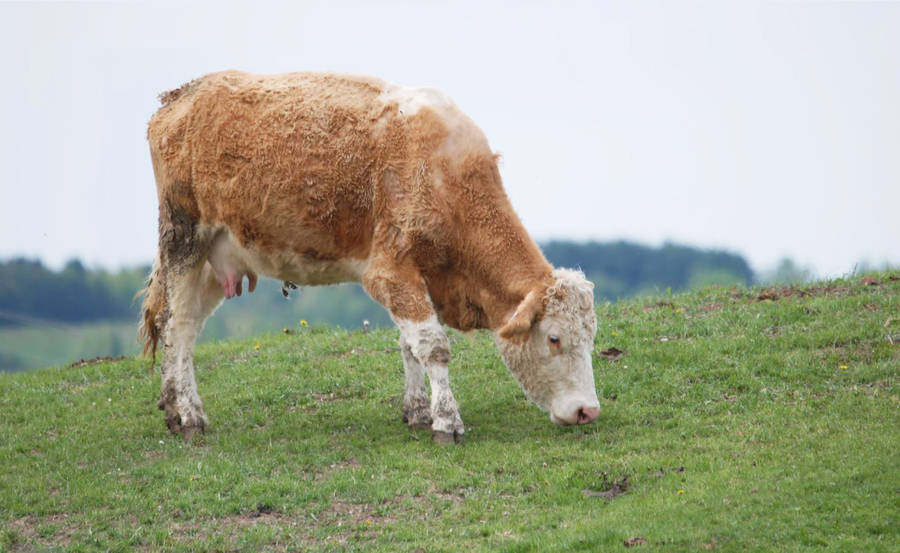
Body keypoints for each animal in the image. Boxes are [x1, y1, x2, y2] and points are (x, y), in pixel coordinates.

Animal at [139, 71, 600, 443]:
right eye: (553, 337)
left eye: (591, 336)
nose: (587, 411)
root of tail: (180, 96)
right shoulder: (389, 270)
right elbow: (433, 346)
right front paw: (447, 422)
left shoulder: (421, 276)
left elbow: (409, 346)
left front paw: (417, 412)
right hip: (184, 238)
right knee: (175, 326)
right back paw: (190, 417)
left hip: (216, 260)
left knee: (184, 328)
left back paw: (174, 407)